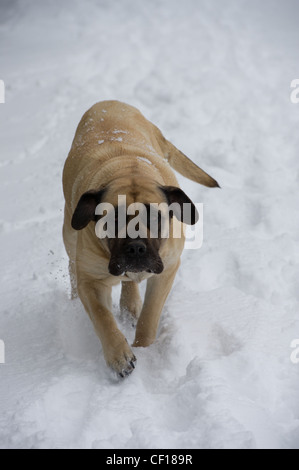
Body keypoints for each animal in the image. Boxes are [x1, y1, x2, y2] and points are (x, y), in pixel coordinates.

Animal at [63, 100, 219, 378]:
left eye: (156, 218)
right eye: (114, 220)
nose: (136, 248)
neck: (128, 169)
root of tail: (109, 103)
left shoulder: (166, 269)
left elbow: (150, 314)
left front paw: (143, 347)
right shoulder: (91, 281)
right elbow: (103, 318)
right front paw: (119, 357)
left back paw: (130, 304)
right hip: (69, 234)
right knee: (73, 266)